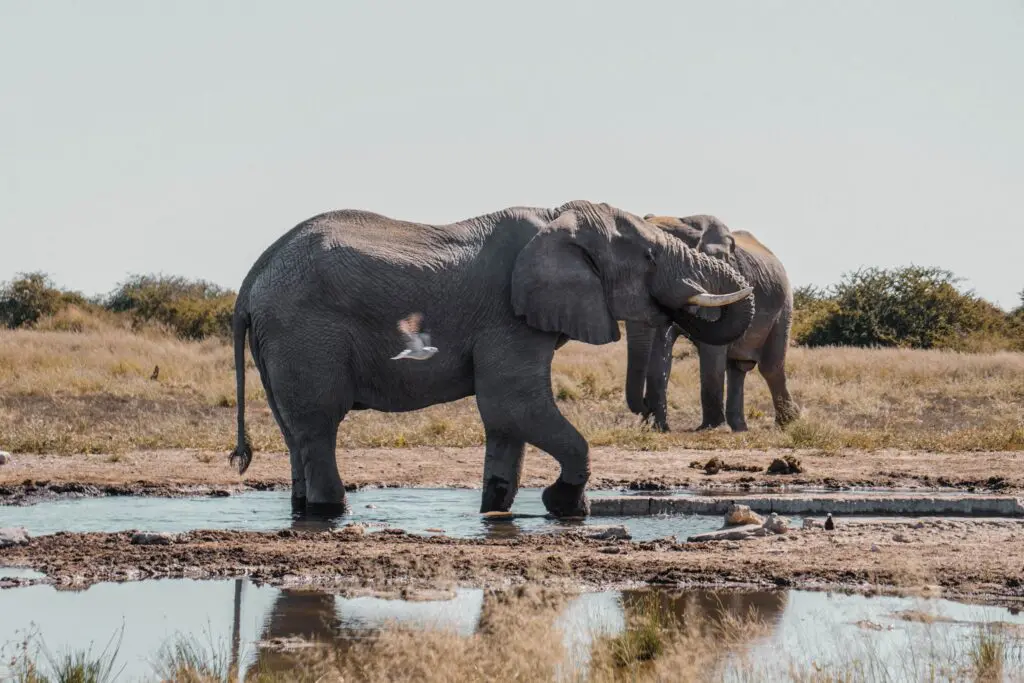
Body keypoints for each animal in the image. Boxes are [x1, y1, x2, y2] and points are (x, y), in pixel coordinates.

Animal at [227, 200, 756, 518]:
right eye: (648, 256)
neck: (556, 217)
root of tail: (251, 281)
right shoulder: (508, 315)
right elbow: (513, 404)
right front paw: (565, 506)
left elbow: (506, 424)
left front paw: (497, 511)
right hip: (304, 333)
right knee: (319, 427)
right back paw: (331, 513)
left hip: (281, 343)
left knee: (295, 432)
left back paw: (303, 510)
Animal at [625, 215, 800, 433]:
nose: (645, 407)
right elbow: (660, 346)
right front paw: (658, 429)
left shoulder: (714, 285)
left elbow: (711, 350)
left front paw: (710, 428)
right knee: (737, 367)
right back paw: (740, 428)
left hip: (785, 305)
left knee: (770, 367)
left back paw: (788, 422)